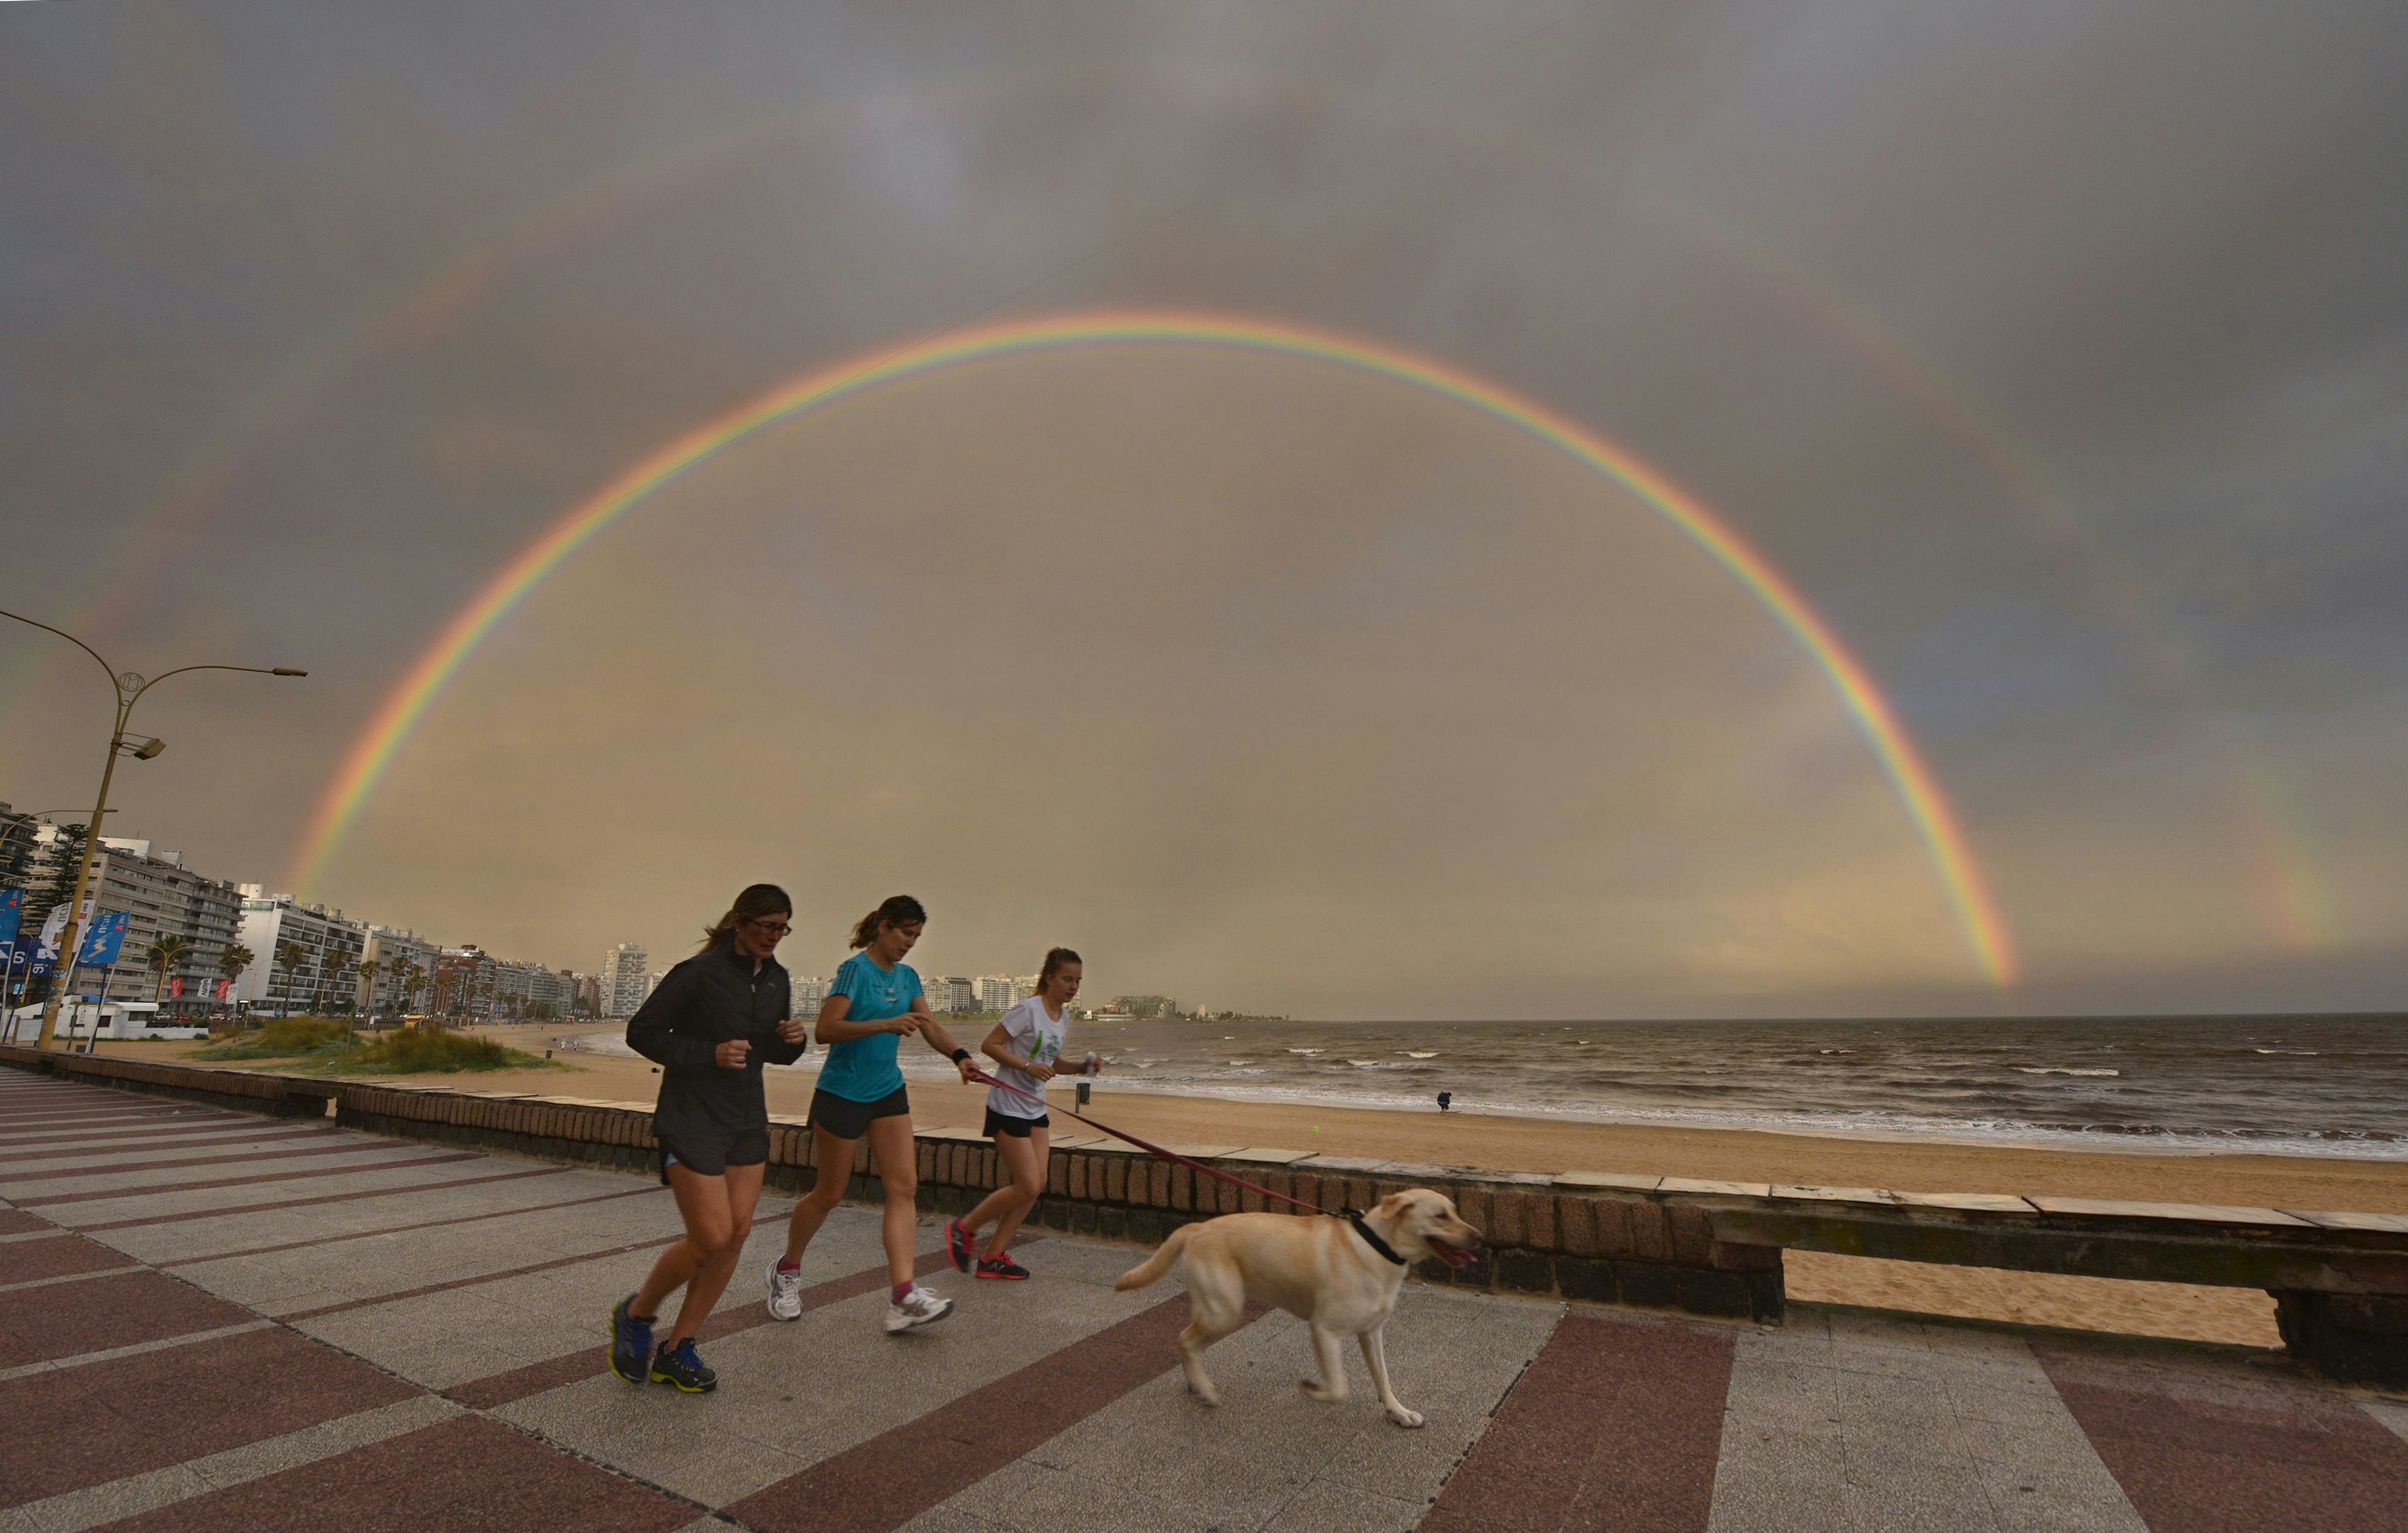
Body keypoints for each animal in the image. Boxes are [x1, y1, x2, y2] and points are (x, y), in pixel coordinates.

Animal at [1112, 1189, 1483, 1425]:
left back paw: (1195, 1382)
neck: (1378, 1247)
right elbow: (1338, 1388)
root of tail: (1197, 1227)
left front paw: (1398, 1412)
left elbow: (1384, 1379)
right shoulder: (1324, 1330)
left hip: (1212, 1305)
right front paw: (1313, 1390)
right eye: (1441, 1216)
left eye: (1456, 1212)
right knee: (1184, 1340)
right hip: (1225, 1310)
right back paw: (1204, 1388)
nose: (1480, 1237)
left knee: (1188, 1340)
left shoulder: (1371, 1332)